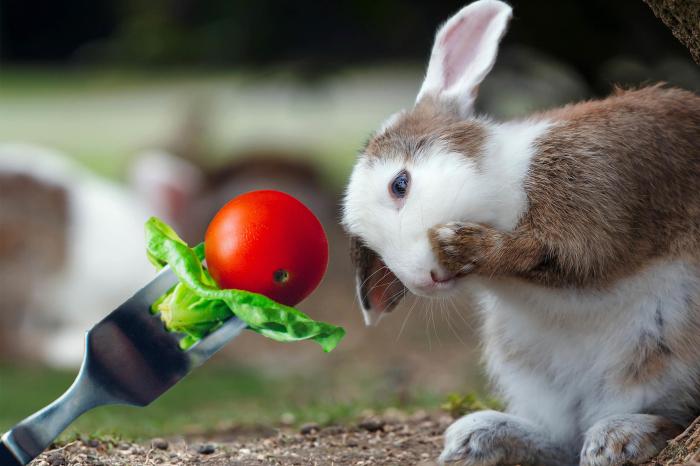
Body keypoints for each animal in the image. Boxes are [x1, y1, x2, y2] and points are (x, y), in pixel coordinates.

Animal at [342, 0, 700, 466]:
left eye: (400, 184)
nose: (426, 280)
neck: (506, 182)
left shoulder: (594, 204)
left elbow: (562, 255)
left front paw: (461, 242)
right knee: (561, 438)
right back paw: (476, 438)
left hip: (662, 350)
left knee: (666, 416)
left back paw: (619, 439)